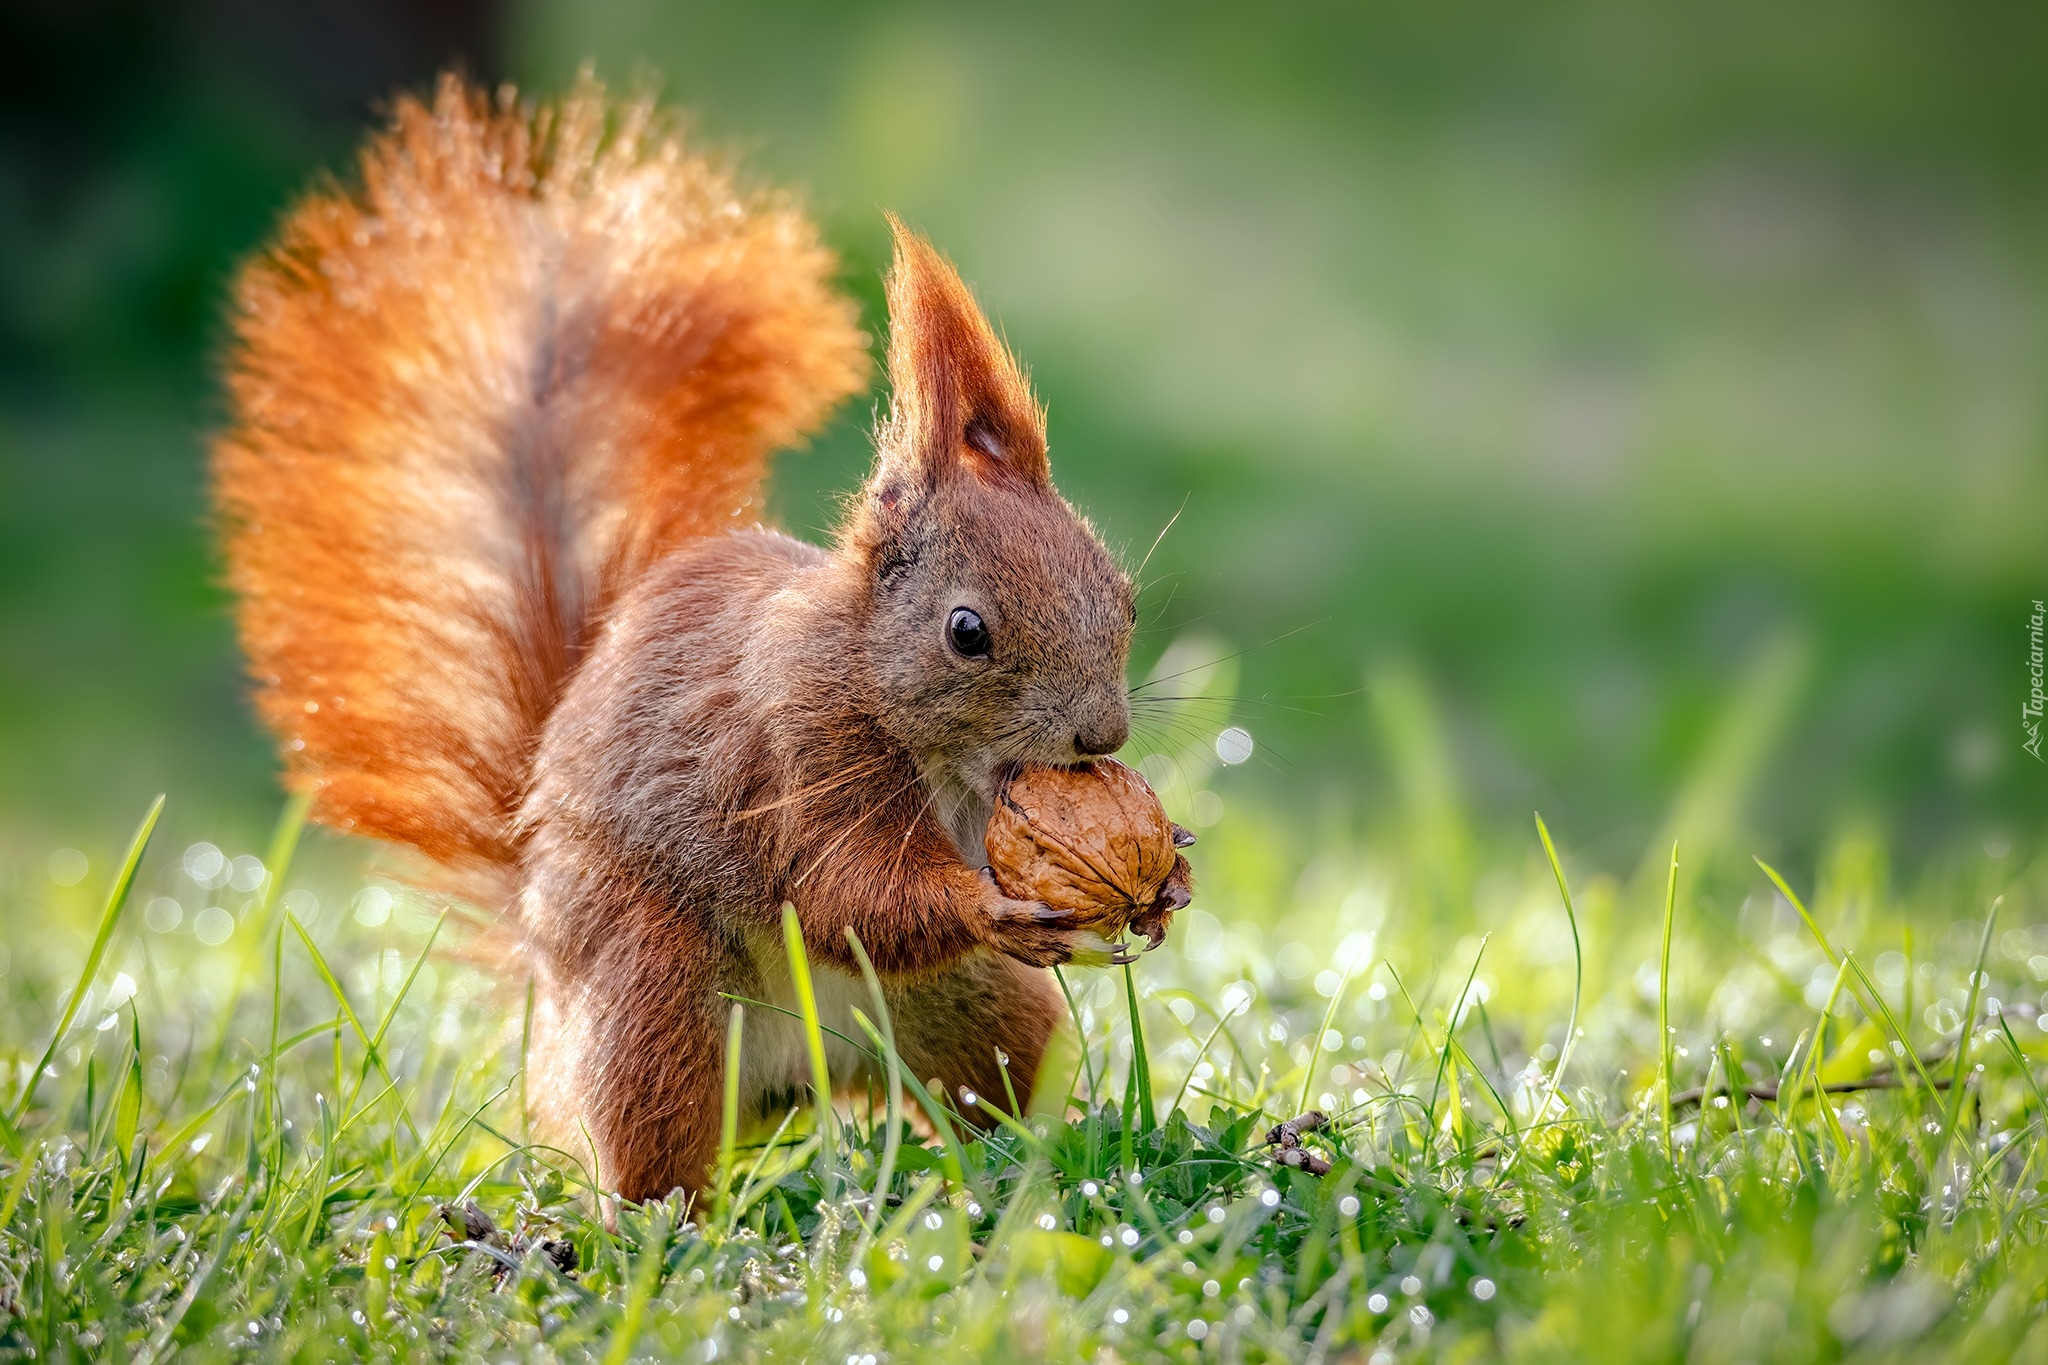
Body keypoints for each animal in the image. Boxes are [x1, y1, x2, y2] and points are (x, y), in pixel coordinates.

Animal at [209, 74, 1187, 1203]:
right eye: (967, 632)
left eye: (1120, 595)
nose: (1100, 738)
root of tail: (809, 1073)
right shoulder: (795, 752)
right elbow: (846, 892)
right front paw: (997, 908)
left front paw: (1170, 870)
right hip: (657, 998)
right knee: (653, 1140)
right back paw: (660, 1214)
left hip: (976, 1012)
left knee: (981, 1089)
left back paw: (1023, 1161)